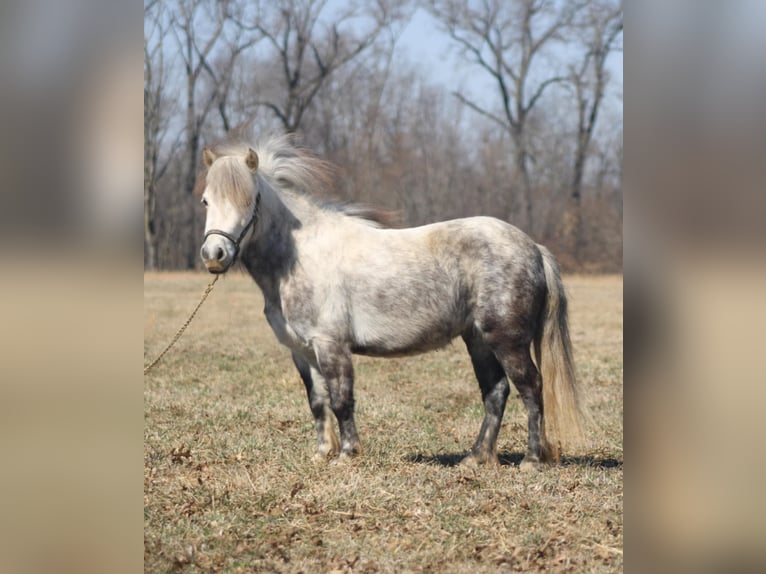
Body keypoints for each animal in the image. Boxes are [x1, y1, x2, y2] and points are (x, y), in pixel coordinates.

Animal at [200, 136, 588, 472]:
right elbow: (318, 402)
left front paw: (347, 455)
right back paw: (476, 457)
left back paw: (532, 459)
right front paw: (322, 454)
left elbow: (341, 400)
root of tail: (533, 248)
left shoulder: (331, 345)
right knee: (496, 392)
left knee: (531, 388)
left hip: (507, 341)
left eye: (250, 199)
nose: (214, 255)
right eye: (205, 200)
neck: (299, 257)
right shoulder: (302, 350)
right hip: (478, 340)